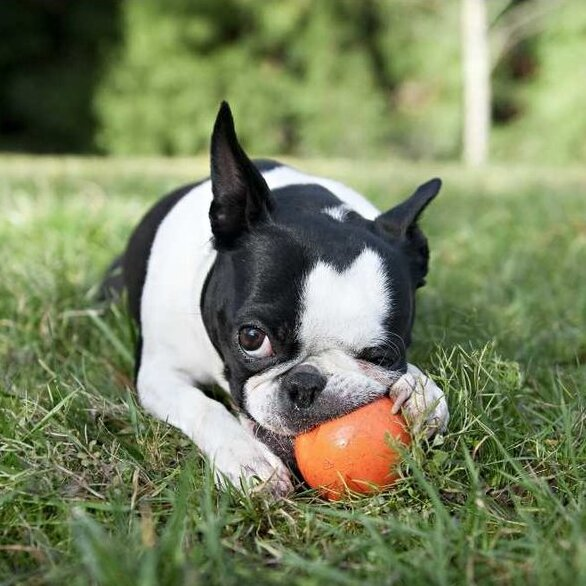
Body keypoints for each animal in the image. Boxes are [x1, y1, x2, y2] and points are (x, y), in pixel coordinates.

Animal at [101, 101, 448, 492]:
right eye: (252, 338)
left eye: (382, 356)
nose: (306, 384)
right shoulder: (160, 374)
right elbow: (204, 407)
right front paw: (246, 459)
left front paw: (421, 390)